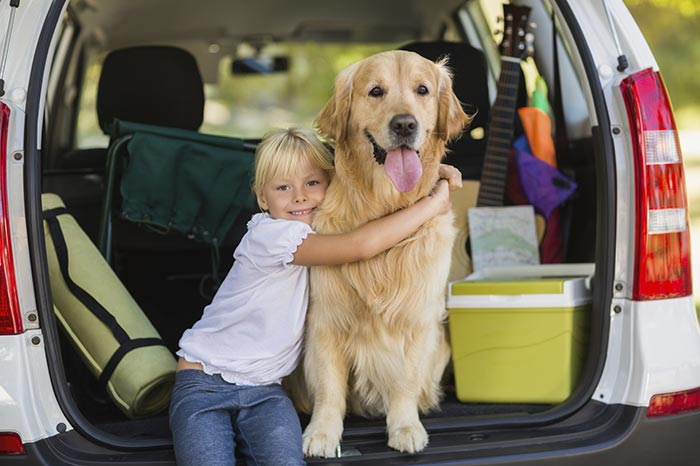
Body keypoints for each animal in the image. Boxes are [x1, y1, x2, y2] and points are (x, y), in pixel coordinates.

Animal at [298, 50, 468, 456]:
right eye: (376, 91)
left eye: (423, 90)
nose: (405, 124)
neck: (384, 206)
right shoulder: (326, 320)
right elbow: (329, 388)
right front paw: (322, 434)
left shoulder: (417, 320)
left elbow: (404, 380)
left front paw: (405, 427)